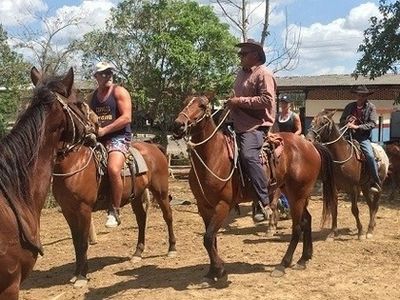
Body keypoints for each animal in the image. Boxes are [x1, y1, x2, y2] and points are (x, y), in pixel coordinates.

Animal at [50, 111, 176, 288]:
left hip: (160, 191)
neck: (73, 163)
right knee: (141, 219)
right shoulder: (68, 211)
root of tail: (154, 147)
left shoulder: (83, 210)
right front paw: (76, 274)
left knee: (168, 216)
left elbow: (83, 242)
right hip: (137, 195)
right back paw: (137, 253)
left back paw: (172, 249)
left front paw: (82, 276)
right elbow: (76, 242)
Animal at [173, 96, 338, 282]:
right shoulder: (204, 207)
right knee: (306, 220)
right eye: (185, 102)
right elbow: (211, 239)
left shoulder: (223, 205)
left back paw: (283, 264)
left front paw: (220, 270)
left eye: (201, 106)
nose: (178, 124)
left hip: (298, 195)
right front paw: (212, 272)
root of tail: (311, 146)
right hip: (295, 194)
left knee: (297, 227)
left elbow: (208, 238)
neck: (213, 156)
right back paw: (304, 259)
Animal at [306, 110, 388, 239]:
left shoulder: (353, 188)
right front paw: (332, 232)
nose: (308, 139)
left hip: (378, 185)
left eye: (323, 123)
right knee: (371, 205)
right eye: (313, 121)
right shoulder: (334, 187)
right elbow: (334, 208)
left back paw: (369, 230)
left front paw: (360, 232)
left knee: (376, 204)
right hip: (365, 187)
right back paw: (371, 227)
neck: (342, 156)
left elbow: (354, 210)